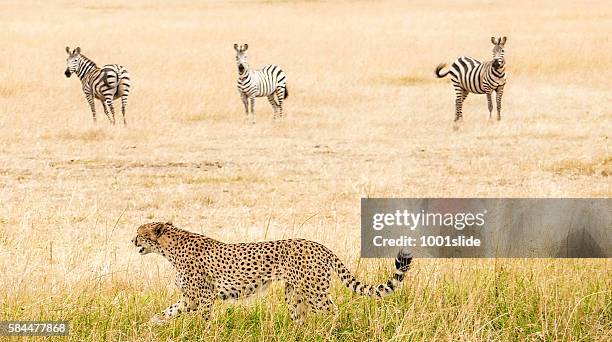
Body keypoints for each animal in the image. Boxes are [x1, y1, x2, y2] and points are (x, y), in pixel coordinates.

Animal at [131, 222, 414, 324]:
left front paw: (203, 333)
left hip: (315, 292)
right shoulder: (189, 298)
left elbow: (204, 320)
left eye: (140, 233)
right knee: (302, 318)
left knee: (333, 311)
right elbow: (167, 312)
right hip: (294, 294)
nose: (132, 241)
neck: (169, 247)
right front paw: (150, 325)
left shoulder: (204, 297)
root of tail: (319, 245)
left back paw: (332, 331)